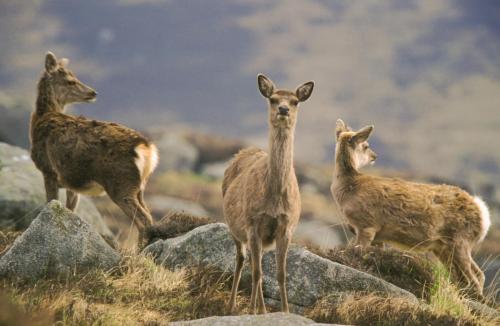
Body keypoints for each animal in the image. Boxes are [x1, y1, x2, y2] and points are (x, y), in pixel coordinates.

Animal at [29, 51, 158, 247]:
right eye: (70, 81)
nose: (92, 92)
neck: (41, 118)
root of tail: (145, 147)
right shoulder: (71, 182)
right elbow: (70, 209)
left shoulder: (48, 170)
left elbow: (50, 203)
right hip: (140, 186)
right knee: (149, 217)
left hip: (121, 183)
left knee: (144, 220)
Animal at [330, 118, 490, 296]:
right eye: (366, 146)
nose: (374, 156)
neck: (350, 190)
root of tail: (482, 212)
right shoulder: (377, 235)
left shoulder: (367, 226)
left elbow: (356, 253)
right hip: (445, 248)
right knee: (475, 276)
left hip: (460, 241)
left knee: (474, 278)